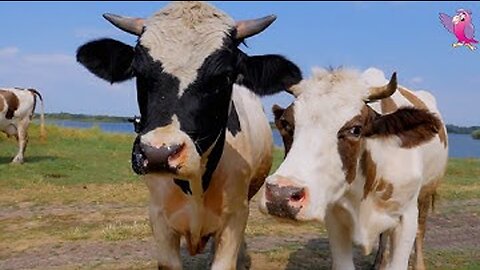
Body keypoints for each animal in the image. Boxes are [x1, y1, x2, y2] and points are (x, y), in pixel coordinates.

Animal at [75, 1, 302, 268]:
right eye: (138, 71)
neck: (195, 184)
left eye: (224, 76)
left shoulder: (235, 216)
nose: (158, 153)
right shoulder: (159, 219)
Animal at [260, 68, 448, 270]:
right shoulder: (333, 217)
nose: (280, 194)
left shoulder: (407, 216)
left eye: (356, 130)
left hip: (426, 193)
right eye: (286, 124)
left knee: (421, 230)